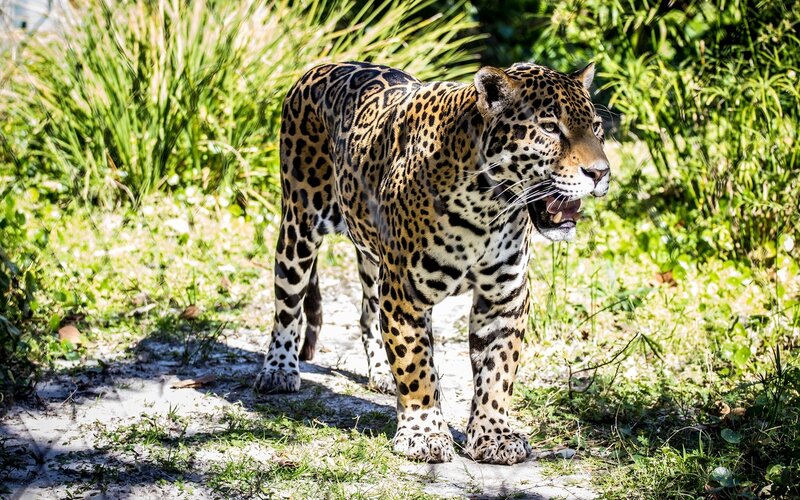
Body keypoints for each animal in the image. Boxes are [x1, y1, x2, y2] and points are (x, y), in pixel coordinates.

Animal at [254, 61, 610, 465]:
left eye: (596, 128)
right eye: (551, 128)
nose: (600, 173)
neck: (489, 208)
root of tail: (321, 65)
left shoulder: (504, 298)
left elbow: (498, 371)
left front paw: (494, 435)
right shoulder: (404, 296)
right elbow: (417, 366)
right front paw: (424, 434)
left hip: (373, 257)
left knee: (366, 313)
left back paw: (380, 373)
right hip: (299, 227)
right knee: (288, 305)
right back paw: (279, 370)